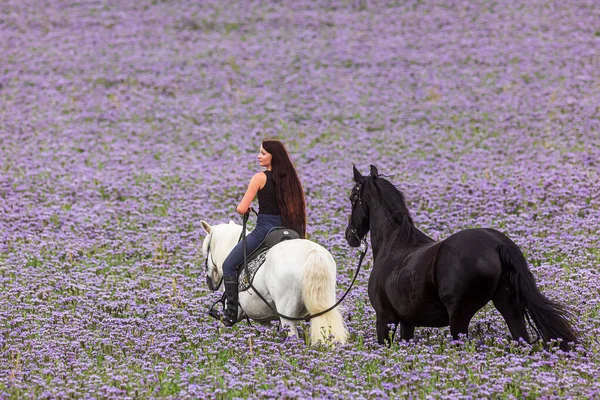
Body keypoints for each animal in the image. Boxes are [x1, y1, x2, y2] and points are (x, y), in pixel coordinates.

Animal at [202, 219, 346, 344]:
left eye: (207, 250)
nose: (209, 282)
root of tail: (312, 253)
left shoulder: (236, 312)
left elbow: (222, 325)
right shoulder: (265, 319)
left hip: (287, 316)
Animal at [346, 165, 576, 350]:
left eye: (352, 198)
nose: (350, 236)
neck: (393, 243)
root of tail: (497, 243)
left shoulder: (385, 318)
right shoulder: (407, 322)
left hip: (459, 317)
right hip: (510, 307)